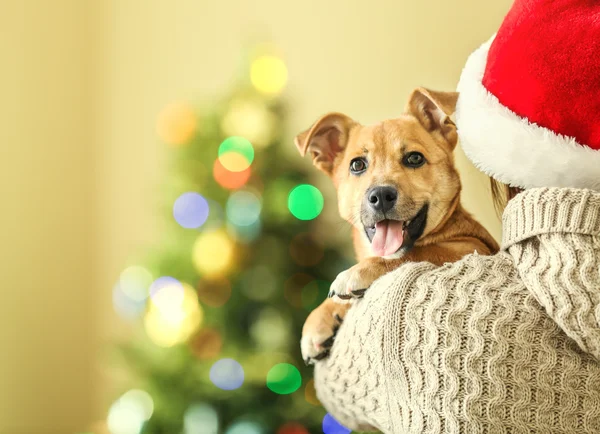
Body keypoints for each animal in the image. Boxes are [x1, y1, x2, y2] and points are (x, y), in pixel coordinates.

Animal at [294, 87, 496, 362]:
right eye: (357, 164)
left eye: (414, 158)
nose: (381, 196)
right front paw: (320, 318)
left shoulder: (474, 246)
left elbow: (419, 252)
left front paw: (360, 271)